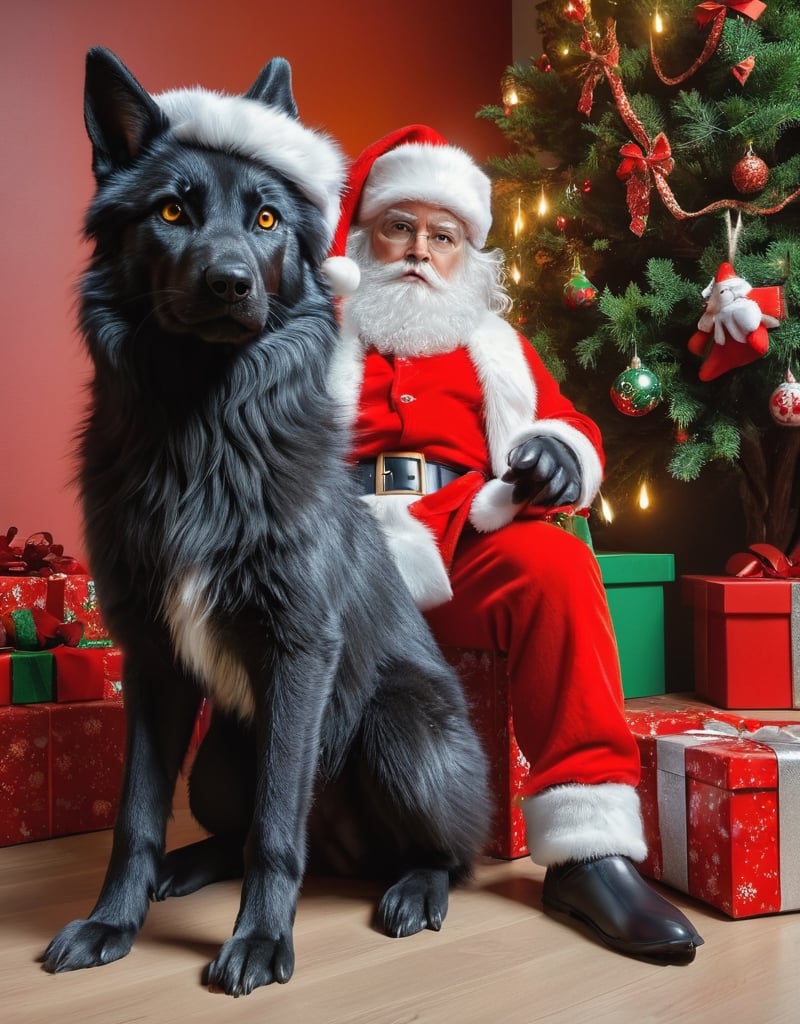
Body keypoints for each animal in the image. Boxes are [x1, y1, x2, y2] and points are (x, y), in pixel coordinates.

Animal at [45, 49, 493, 999]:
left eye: (264, 218)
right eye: (170, 211)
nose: (230, 283)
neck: (202, 429)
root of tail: (350, 854)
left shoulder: (300, 650)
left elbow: (274, 827)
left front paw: (258, 939)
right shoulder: (152, 662)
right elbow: (135, 816)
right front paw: (112, 922)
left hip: (396, 727)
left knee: (448, 853)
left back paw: (415, 887)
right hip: (220, 758)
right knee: (234, 825)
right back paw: (185, 866)